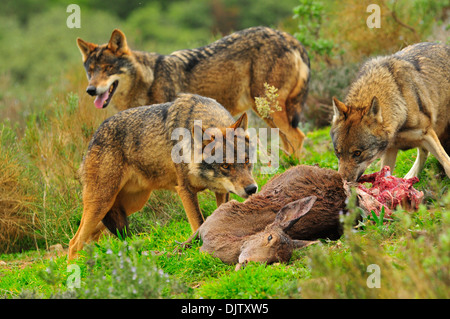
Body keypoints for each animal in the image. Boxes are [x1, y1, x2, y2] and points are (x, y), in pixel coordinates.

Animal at [67, 92, 256, 260]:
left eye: (246, 161)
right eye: (225, 166)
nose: (252, 189)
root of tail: (94, 136)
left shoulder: (221, 191)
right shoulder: (185, 190)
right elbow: (199, 223)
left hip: (126, 205)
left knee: (89, 239)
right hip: (102, 203)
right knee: (74, 242)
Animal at [76, 25, 310, 158]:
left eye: (108, 69)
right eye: (91, 71)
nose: (91, 90)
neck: (148, 82)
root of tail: (291, 39)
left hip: (267, 108)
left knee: (298, 137)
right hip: (265, 112)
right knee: (288, 141)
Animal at [330, 42, 450, 182]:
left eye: (357, 153)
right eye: (338, 153)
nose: (341, 181)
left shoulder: (427, 133)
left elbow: (447, 163)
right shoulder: (391, 149)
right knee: (423, 152)